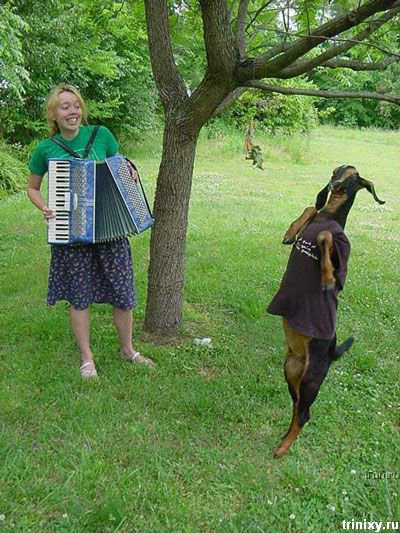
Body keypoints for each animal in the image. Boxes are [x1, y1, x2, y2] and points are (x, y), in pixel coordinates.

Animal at [266, 164, 384, 456]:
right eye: (337, 170)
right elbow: (310, 208)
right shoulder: (315, 214)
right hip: (292, 369)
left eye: (354, 178)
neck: (330, 215)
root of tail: (331, 353)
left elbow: (325, 235)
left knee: (305, 414)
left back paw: (283, 449)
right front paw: (291, 233)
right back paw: (284, 440)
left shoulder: (339, 249)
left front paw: (328, 277)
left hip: (312, 378)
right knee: (297, 407)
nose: (333, 184)